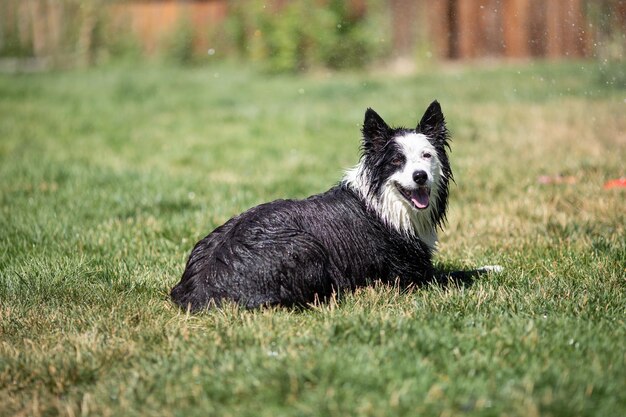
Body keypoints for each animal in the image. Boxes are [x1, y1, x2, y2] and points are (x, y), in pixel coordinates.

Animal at [169, 101, 454, 308]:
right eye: (396, 160)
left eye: (427, 156)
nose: (420, 176)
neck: (384, 202)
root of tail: (198, 290)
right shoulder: (410, 275)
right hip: (305, 247)